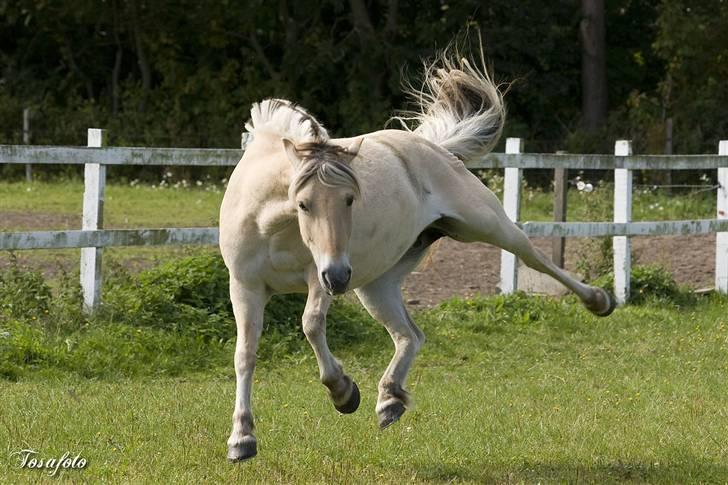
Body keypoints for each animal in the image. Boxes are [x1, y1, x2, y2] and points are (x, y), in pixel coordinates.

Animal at [220, 47, 616, 460]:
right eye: (303, 204)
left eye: (350, 199)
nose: (340, 276)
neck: (272, 226)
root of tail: (435, 147)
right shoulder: (246, 286)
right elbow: (245, 354)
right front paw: (241, 438)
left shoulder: (318, 276)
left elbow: (311, 325)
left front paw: (343, 392)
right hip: (375, 285)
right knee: (410, 335)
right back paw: (389, 399)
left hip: (485, 224)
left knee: (532, 256)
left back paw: (599, 300)